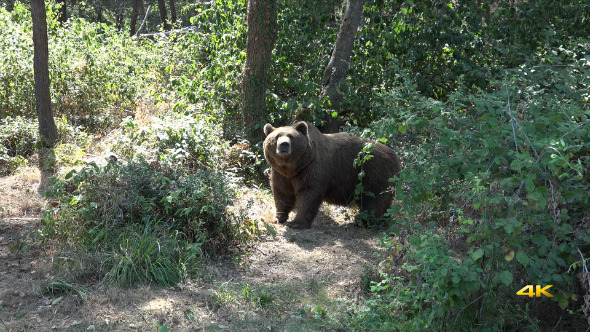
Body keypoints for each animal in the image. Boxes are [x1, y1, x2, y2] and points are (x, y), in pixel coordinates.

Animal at [264, 121, 400, 228]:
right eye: (277, 136)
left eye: (291, 136)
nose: (284, 145)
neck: (293, 167)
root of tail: (395, 155)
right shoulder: (281, 174)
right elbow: (282, 193)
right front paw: (278, 217)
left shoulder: (312, 169)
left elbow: (308, 193)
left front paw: (296, 223)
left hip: (375, 173)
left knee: (375, 199)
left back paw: (363, 220)